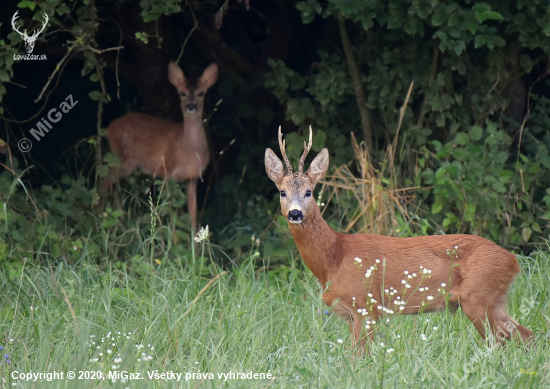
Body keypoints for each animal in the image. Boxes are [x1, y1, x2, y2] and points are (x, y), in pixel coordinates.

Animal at [103, 61, 218, 230]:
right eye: (183, 93)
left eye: (200, 93)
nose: (191, 106)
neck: (189, 150)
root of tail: (110, 127)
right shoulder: (167, 172)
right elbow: (170, 210)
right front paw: (173, 235)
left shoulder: (193, 177)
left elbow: (193, 212)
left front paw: (194, 237)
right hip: (123, 159)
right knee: (105, 181)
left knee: (114, 184)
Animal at [268, 128, 536, 348]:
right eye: (282, 192)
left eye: (308, 191)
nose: (295, 213)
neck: (334, 258)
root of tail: (513, 261)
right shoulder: (351, 314)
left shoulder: (366, 305)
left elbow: (358, 357)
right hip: (494, 300)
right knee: (527, 335)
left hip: (478, 297)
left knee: (501, 343)